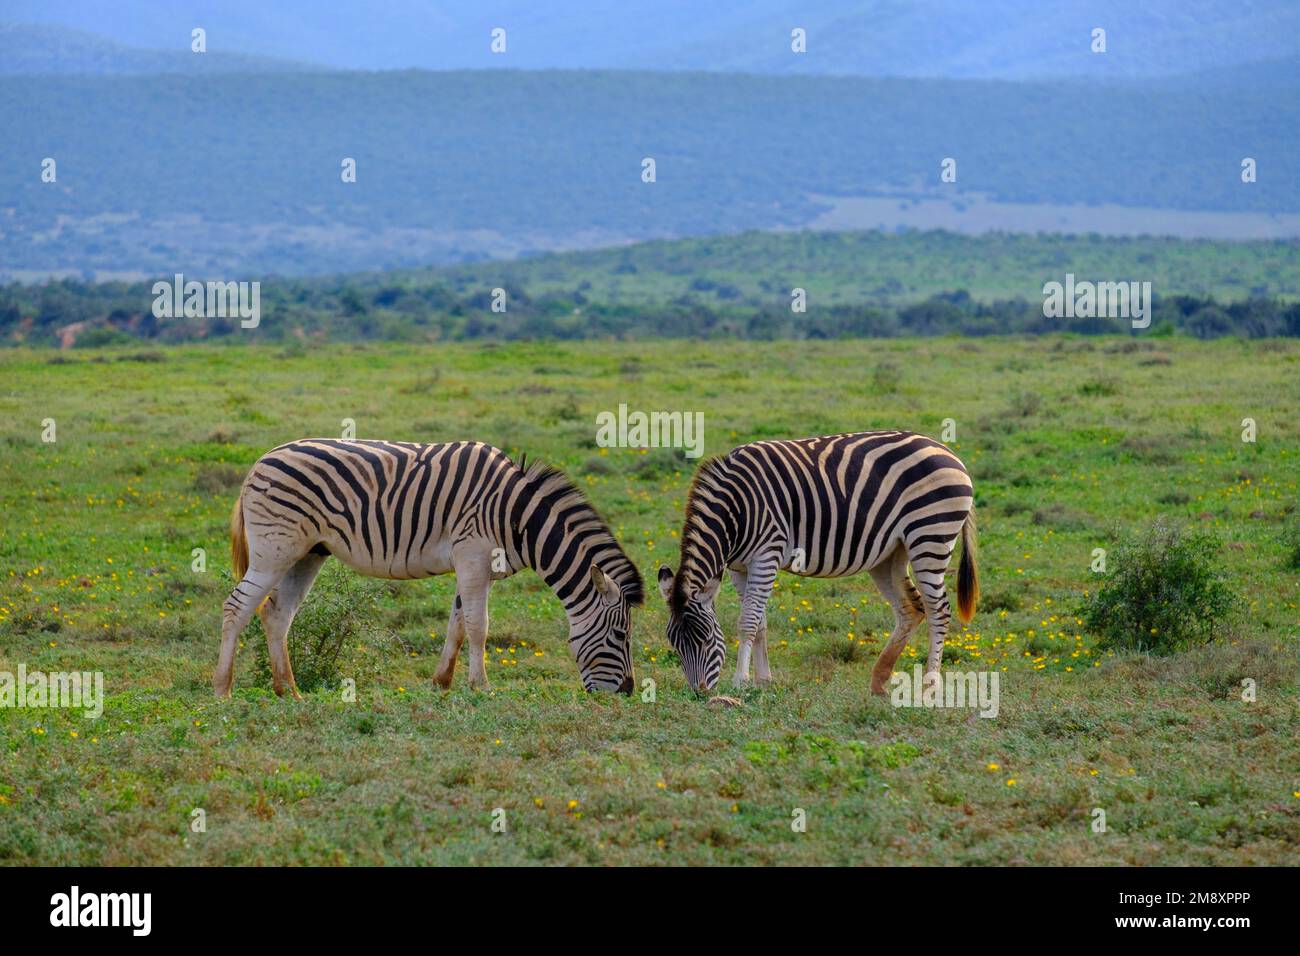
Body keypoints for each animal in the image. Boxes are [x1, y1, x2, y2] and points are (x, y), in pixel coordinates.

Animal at [215, 439, 647, 697]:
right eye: (621, 635)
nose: (627, 691)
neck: (516, 517)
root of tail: (261, 460)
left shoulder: (474, 564)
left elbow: (458, 623)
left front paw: (442, 682)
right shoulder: (472, 554)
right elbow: (478, 625)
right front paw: (482, 686)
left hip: (307, 553)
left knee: (277, 614)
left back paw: (288, 690)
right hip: (274, 550)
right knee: (236, 607)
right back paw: (223, 689)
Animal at [660, 434, 977, 697]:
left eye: (706, 640)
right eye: (674, 645)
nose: (699, 693)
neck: (736, 511)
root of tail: (947, 451)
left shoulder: (766, 555)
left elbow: (747, 621)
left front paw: (741, 682)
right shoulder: (740, 567)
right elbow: (760, 622)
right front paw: (763, 681)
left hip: (929, 536)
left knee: (939, 610)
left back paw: (929, 686)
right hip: (890, 554)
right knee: (910, 609)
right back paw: (878, 681)